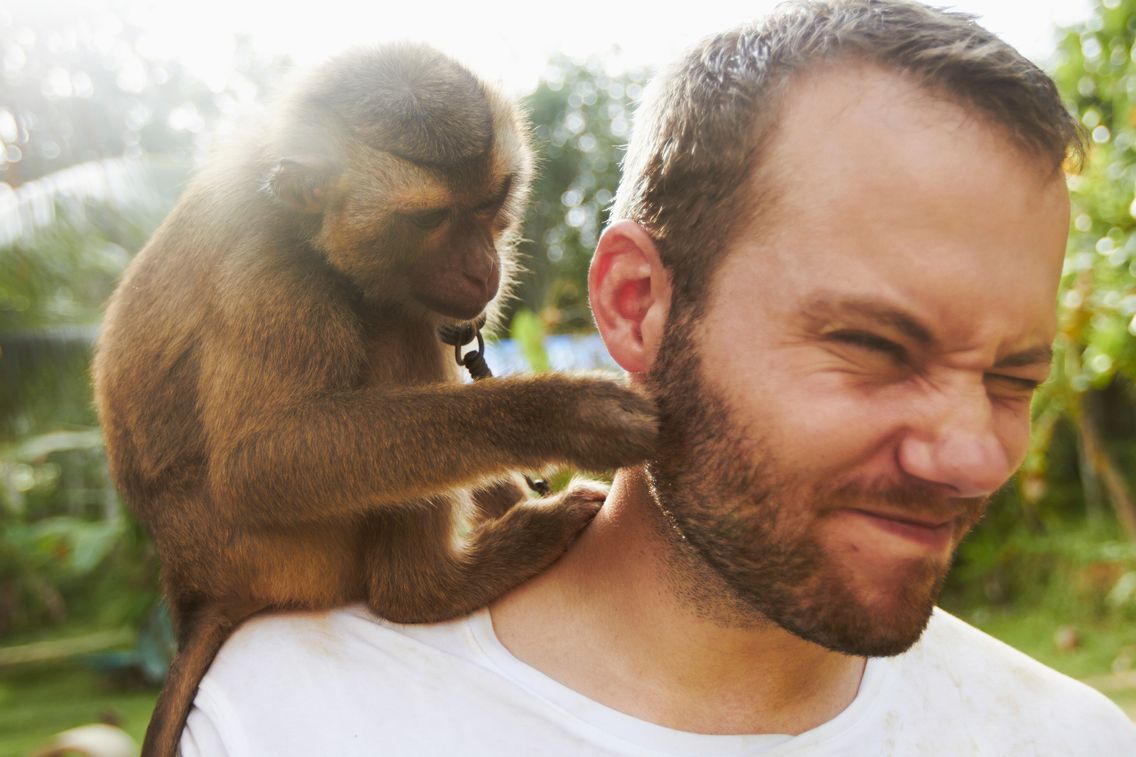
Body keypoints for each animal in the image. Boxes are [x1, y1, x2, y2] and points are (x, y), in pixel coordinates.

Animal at [91, 44, 657, 757]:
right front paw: (565, 415)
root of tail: (194, 588)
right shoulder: (270, 275)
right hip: (280, 554)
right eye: (428, 219)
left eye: (491, 200)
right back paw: (426, 590)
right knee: (396, 334)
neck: (302, 224)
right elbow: (261, 463)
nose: (482, 266)